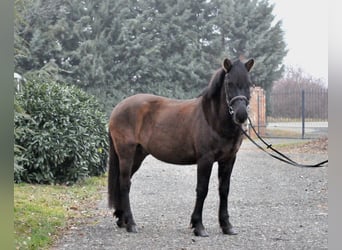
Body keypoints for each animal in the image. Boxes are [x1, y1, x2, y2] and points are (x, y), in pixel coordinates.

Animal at [108, 57, 255, 237]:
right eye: (229, 83)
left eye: (249, 83)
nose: (241, 115)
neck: (211, 118)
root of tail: (117, 108)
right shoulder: (205, 160)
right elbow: (202, 189)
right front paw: (198, 226)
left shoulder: (228, 159)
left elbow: (224, 190)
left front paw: (226, 225)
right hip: (126, 154)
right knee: (124, 184)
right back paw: (131, 224)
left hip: (137, 155)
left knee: (123, 182)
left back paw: (122, 219)